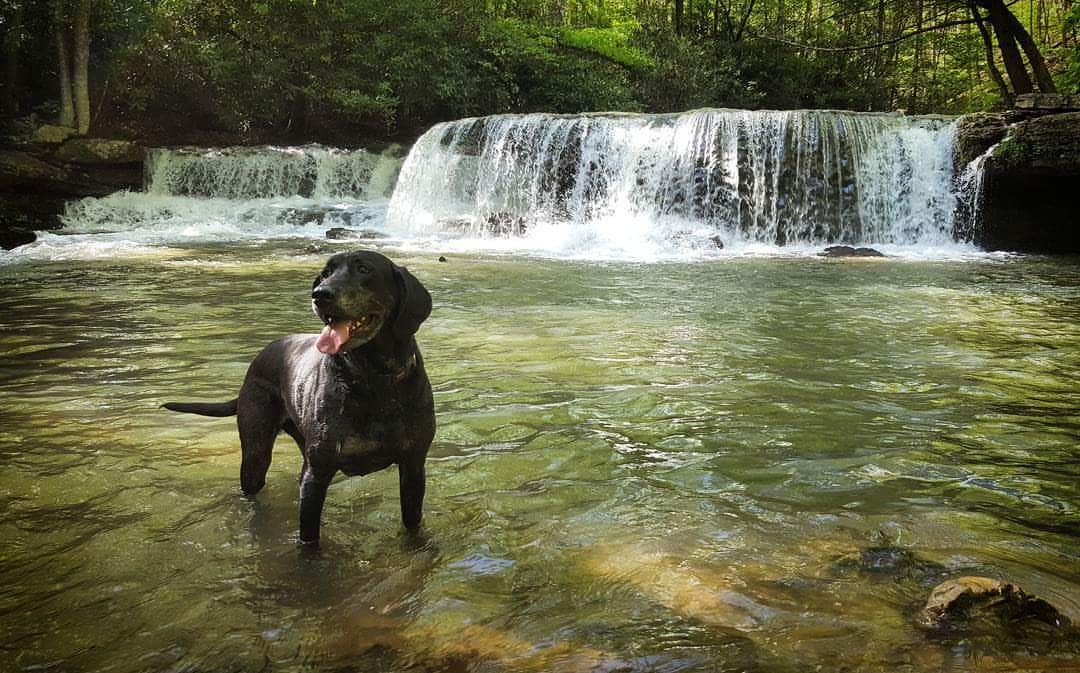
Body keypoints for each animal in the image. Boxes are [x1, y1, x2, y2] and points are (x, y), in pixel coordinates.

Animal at [162, 250, 432, 544]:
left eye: (364, 269)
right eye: (325, 273)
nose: (320, 294)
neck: (372, 381)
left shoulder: (413, 467)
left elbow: (413, 524)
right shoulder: (317, 476)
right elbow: (309, 540)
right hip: (256, 454)